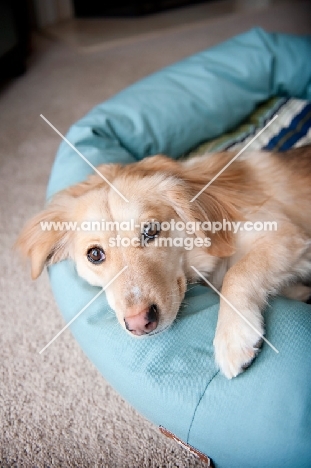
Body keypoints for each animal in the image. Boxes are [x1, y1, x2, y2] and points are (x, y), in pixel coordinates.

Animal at [17, 147, 311, 380]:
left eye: (150, 231)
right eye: (95, 255)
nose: (140, 323)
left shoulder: (285, 236)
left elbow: (237, 274)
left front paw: (232, 336)